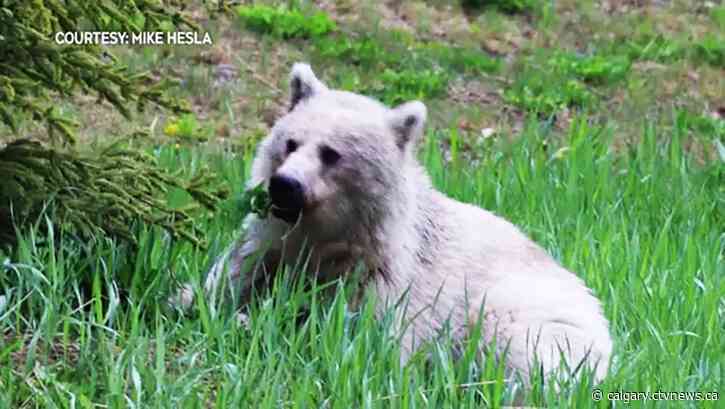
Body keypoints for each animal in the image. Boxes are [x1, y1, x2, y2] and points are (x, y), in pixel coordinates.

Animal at [176, 63, 613, 384]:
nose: (285, 186)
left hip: (533, 316)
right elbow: (224, 281)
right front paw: (200, 303)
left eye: (332, 153)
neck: (327, 239)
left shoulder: (384, 279)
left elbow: (361, 339)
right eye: (290, 142)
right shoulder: (268, 246)